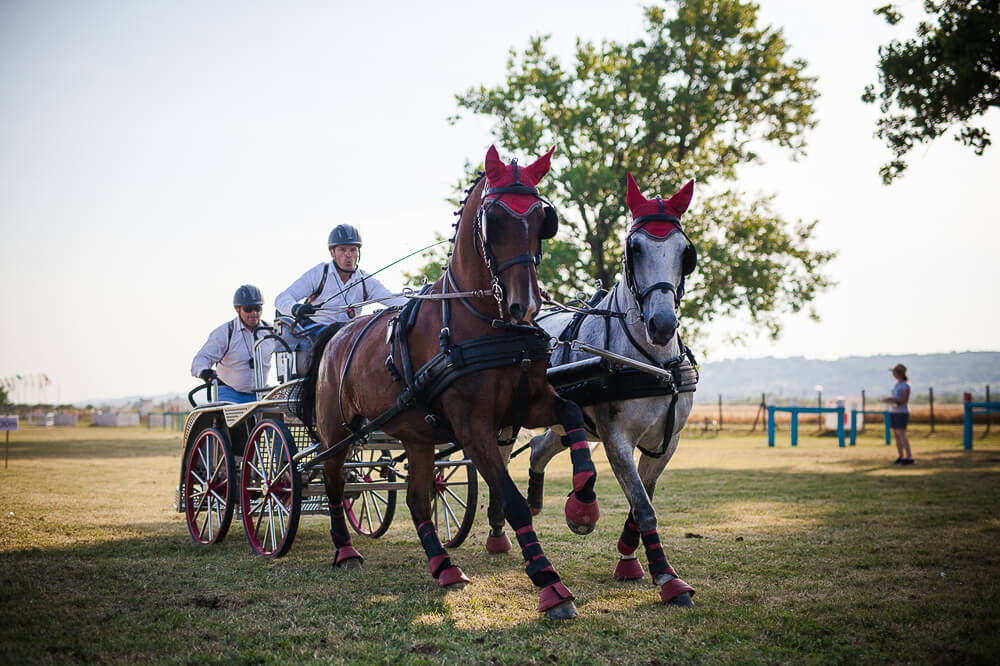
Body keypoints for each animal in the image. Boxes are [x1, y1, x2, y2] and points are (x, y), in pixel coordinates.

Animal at [296, 146, 601, 620]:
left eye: (542, 219)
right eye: (494, 220)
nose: (526, 305)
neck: (483, 322)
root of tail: (336, 332)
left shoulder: (529, 403)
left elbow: (569, 414)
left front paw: (583, 507)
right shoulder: (473, 428)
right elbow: (513, 503)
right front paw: (549, 584)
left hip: (417, 436)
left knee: (418, 500)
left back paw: (443, 566)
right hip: (336, 432)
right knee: (333, 481)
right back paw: (345, 551)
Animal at [500, 173, 700, 607]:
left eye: (685, 252)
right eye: (634, 248)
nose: (662, 324)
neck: (651, 364)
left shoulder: (668, 442)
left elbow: (642, 500)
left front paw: (628, 557)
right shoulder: (616, 439)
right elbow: (643, 505)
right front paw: (668, 578)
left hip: (563, 425)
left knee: (539, 449)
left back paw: (540, 502)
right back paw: (497, 533)